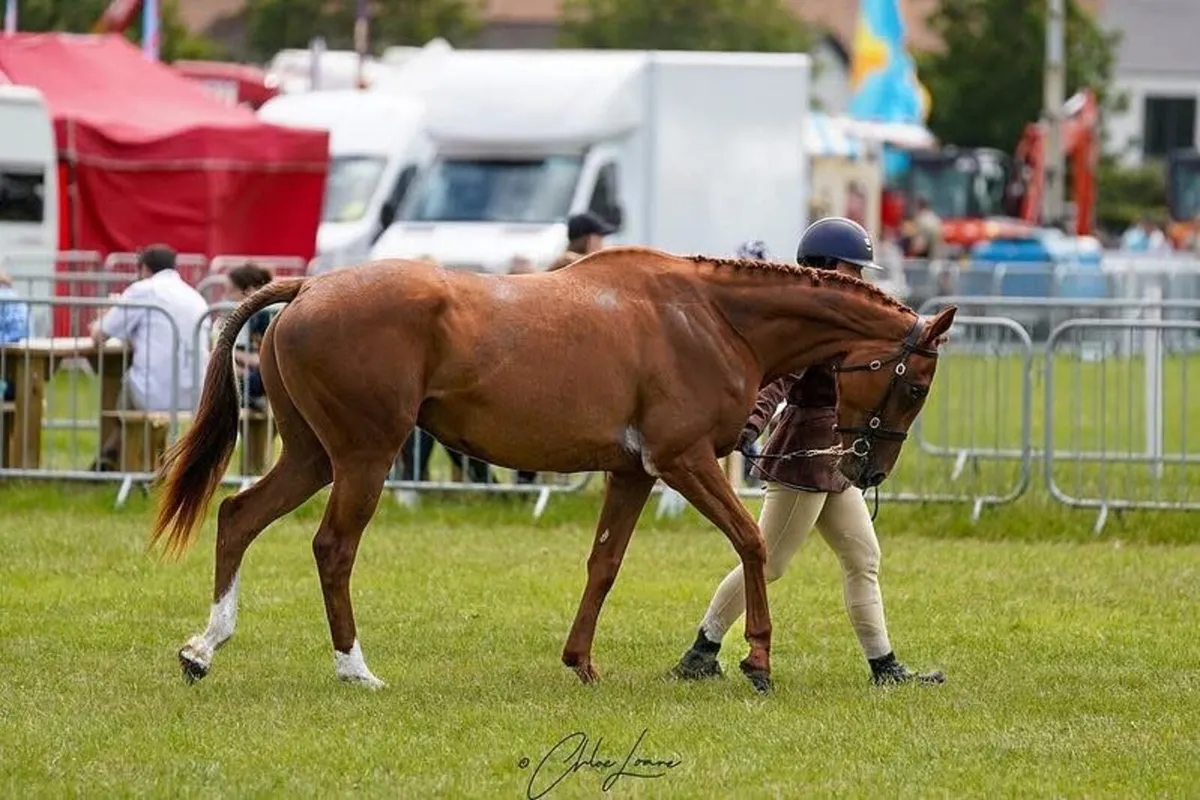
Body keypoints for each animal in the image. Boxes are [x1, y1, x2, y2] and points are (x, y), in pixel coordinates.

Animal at [150, 246, 956, 694]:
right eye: (917, 386)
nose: (870, 470)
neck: (712, 316)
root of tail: (310, 288)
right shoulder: (685, 461)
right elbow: (752, 544)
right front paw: (757, 660)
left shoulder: (635, 473)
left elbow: (604, 565)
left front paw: (582, 662)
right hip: (364, 459)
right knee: (333, 549)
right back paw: (354, 668)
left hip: (313, 456)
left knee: (239, 516)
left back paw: (203, 648)